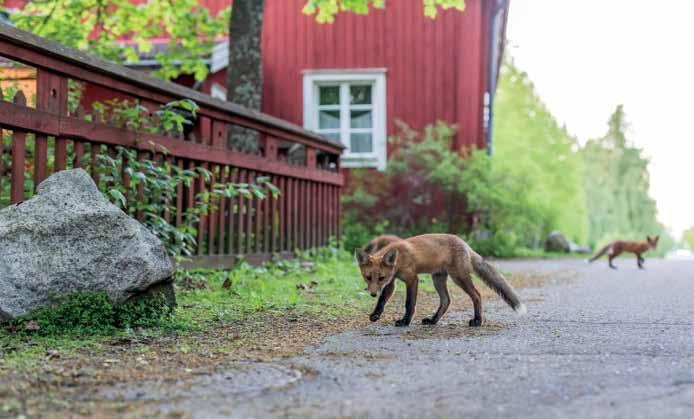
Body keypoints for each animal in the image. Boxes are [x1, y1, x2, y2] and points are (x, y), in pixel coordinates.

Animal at [358, 233, 528, 328]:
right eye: (368, 277)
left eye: (381, 277)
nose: (372, 294)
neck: (400, 258)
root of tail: (465, 244)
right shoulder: (392, 281)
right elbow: (382, 301)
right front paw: (375, 315)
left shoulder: (412, 279)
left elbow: (409, 303)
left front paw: (405, 321)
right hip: (438, 279)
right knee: (446, 300)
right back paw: (433, 321)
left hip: (459, 277)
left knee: (477, 295)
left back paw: (477, 321)